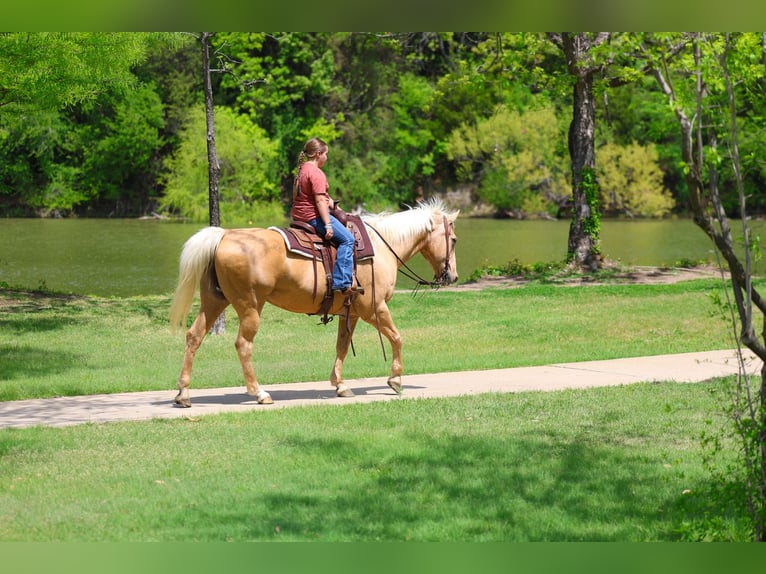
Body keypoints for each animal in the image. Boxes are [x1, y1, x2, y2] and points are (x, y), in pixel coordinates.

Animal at [168, 197, 459, 408]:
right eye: (454, 240)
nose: (453, 276)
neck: (381, 247)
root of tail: (224, 236)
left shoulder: (350, 313)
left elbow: (342, 346)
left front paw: (341, 385)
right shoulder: (374, 308)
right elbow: (397, 338)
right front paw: (395, 379)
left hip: (214, 301)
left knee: (194, 337)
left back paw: (183, 394)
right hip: (250, 305)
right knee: (243, 345)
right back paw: (259, 393)